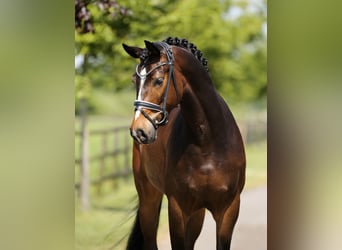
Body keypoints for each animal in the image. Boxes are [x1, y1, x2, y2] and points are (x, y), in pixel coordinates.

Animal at [121, 37, 244, 250]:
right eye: (134, 80)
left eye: (158, 80)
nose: (139, 131)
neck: (207, 142)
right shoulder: (177, 208)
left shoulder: (229, 209)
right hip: (149, 201)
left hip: (197, 214)